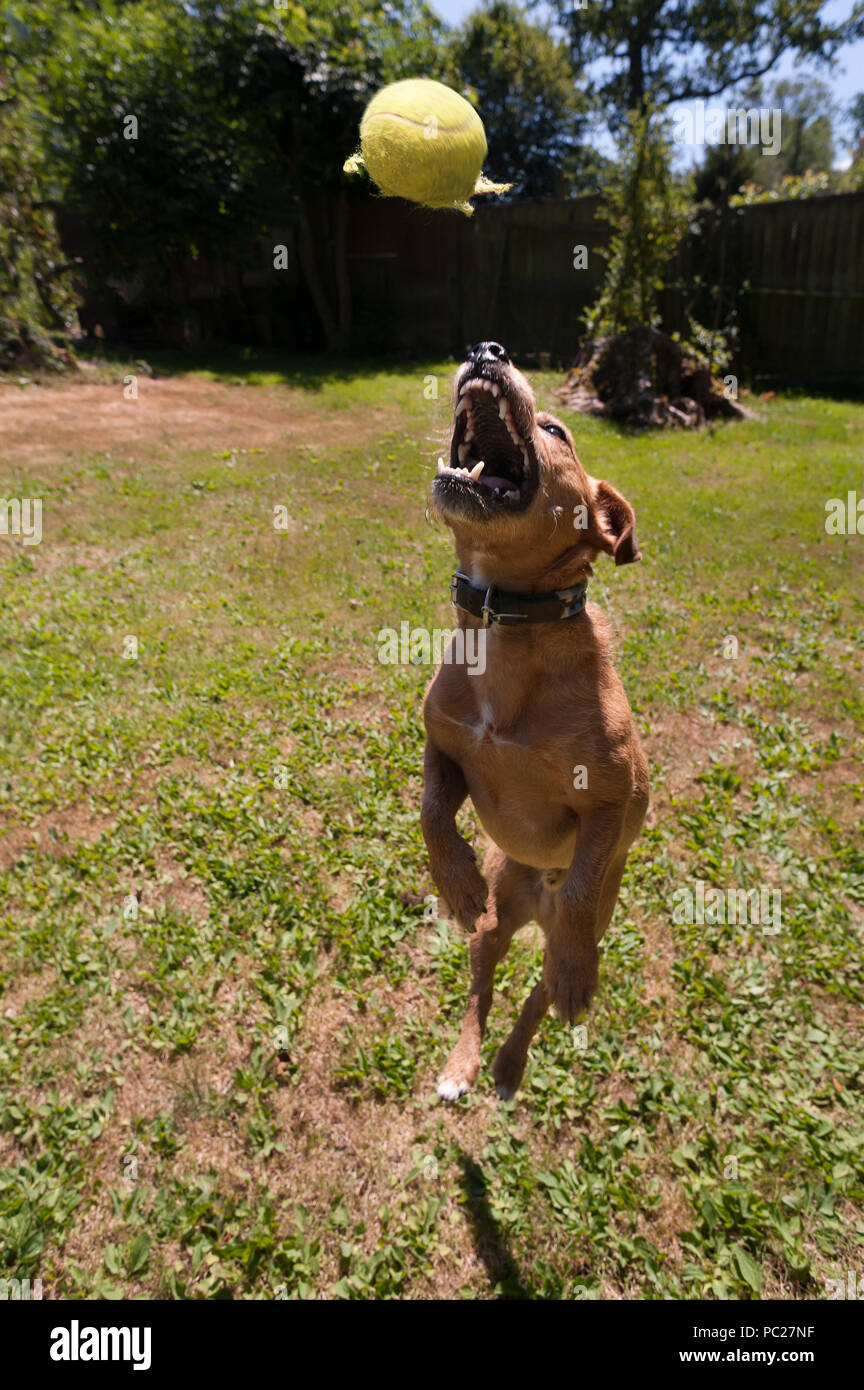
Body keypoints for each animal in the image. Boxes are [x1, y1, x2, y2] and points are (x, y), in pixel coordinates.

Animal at [422, 341, 652, 1100]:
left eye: (558, 432)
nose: (486, 350)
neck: (505, 622)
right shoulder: (441, 745)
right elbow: (431, 811)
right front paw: (454, 880)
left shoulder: (615, 796)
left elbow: (581, 882)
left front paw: (576, 969)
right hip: (495, 923)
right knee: (483, 985)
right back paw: (464, 1065)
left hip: (576, 932)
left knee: (541, 989)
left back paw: (512, 1061)